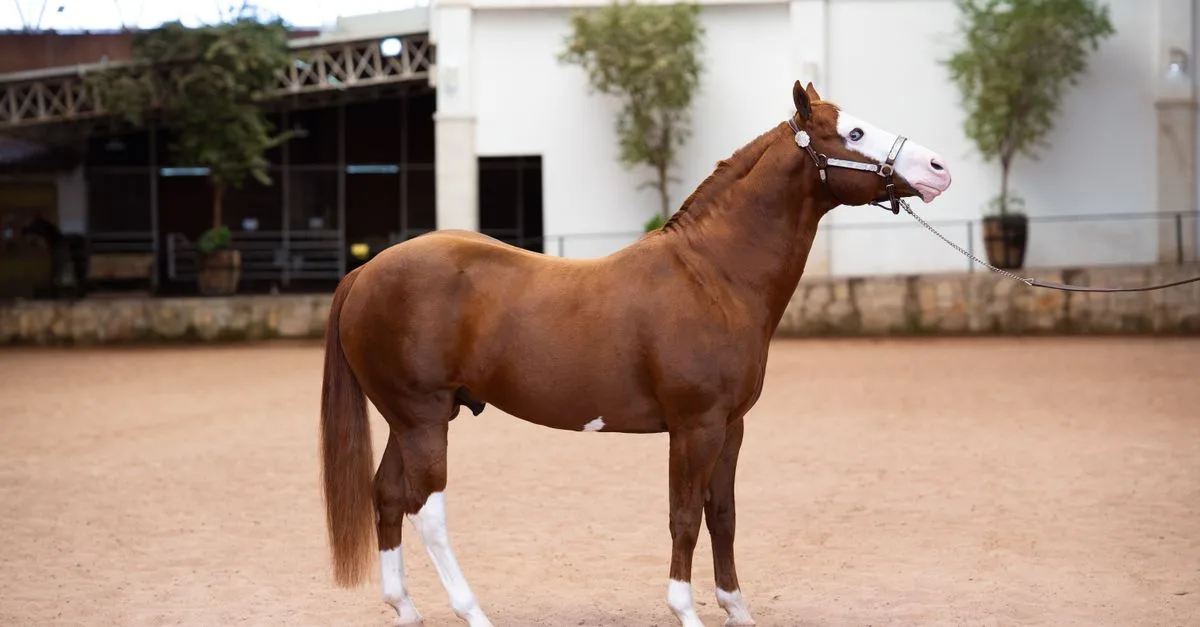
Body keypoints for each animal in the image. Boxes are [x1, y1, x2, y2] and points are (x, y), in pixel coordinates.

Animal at [319, 81, 953, 627]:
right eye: (854, 133)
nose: (939, 169)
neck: (713, 275)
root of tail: (365, 272)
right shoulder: (695, 426)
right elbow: (685, 516)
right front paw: (686, 611)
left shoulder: (731, 426)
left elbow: (722, 514)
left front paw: (737, 608)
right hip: (423, 419)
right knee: (427, 511)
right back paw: (471, 611)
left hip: (408, 420)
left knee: (387, 496)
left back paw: (404, 607)